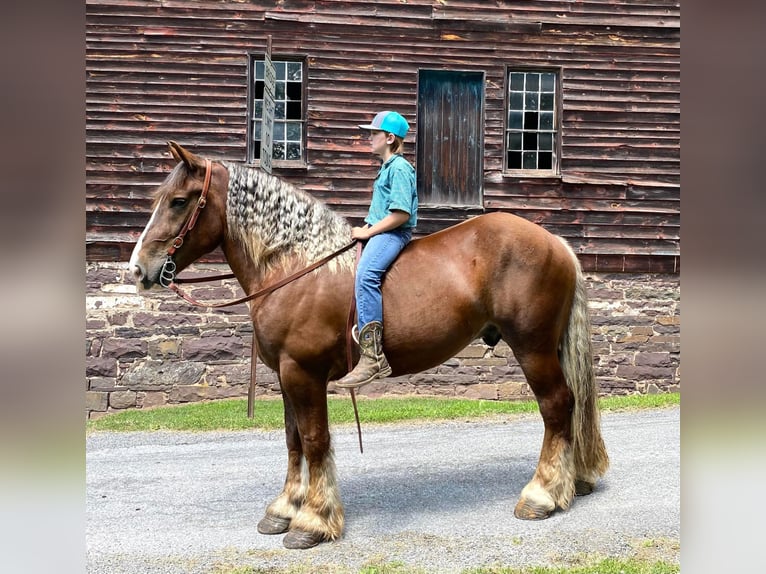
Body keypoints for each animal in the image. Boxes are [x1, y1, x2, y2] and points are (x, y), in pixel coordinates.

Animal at [132, 142, 612, 552]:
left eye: (179, 201)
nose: (138, 269)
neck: (296, 267)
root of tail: (555, 243)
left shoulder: (303, 372)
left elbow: (314, 440)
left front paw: (312, 521)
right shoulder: (285, 374)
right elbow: (292, 439)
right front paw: (285, 508)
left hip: (532, 347)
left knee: (556, 406)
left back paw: (542, 495)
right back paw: (572, 483)